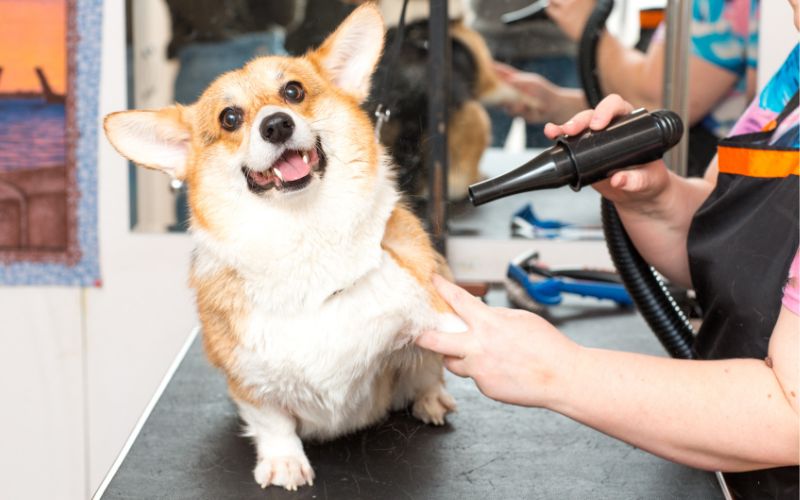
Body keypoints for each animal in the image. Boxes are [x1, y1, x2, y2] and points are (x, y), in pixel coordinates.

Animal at [103, 3, 466, 492]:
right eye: (229, 118)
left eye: (293, 91)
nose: (276, 124)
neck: (303, 235)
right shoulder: (248, 378)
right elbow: (271, 419)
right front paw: (283, 461)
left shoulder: (426, 308)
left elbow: (443, 338)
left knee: (427, 373)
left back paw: (430, 400)